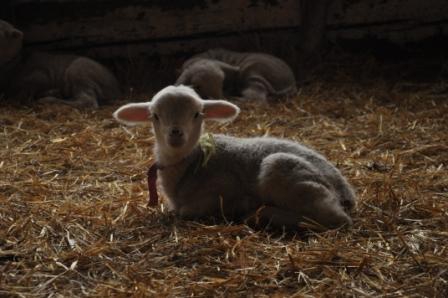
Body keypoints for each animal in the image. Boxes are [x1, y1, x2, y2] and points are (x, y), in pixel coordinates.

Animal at [113, 85, 356, 229]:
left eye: (197, 114)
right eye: (155, 116)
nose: (175, 134)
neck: (194, 162)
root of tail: (346, 191)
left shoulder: (222, 187)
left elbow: (186, 210)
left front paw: (240, 206)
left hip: (282, 168)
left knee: (336, 220)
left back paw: (260, 214)